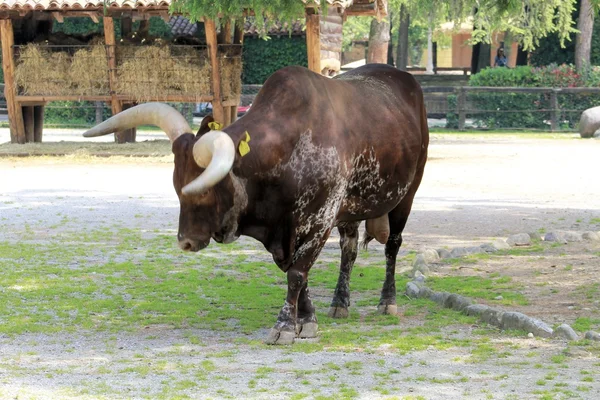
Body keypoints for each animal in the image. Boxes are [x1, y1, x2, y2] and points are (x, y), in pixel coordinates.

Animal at [85, 63, 432, 344]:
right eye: (175, 186)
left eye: (204, 190)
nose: (185, 242)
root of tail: (406, 79)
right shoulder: (287, 230)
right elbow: (298, 272)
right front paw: (307, 319)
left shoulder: (320, 220)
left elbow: (297, 273)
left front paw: (285, 327)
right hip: (352, 209)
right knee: (349, 250)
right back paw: (339, 302)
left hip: (408, 193)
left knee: (393, 246)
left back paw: (387, 300)